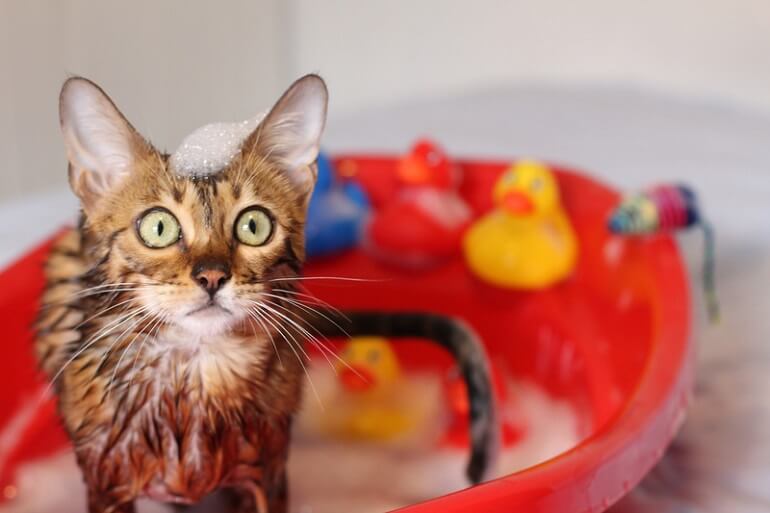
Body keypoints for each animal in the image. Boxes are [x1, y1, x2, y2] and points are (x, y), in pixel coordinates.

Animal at [33, 76, 496, 512]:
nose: (212, 275)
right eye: (158, 227)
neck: (198, 373)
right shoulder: (106, 479)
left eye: (254, 225)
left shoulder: (266, 470)